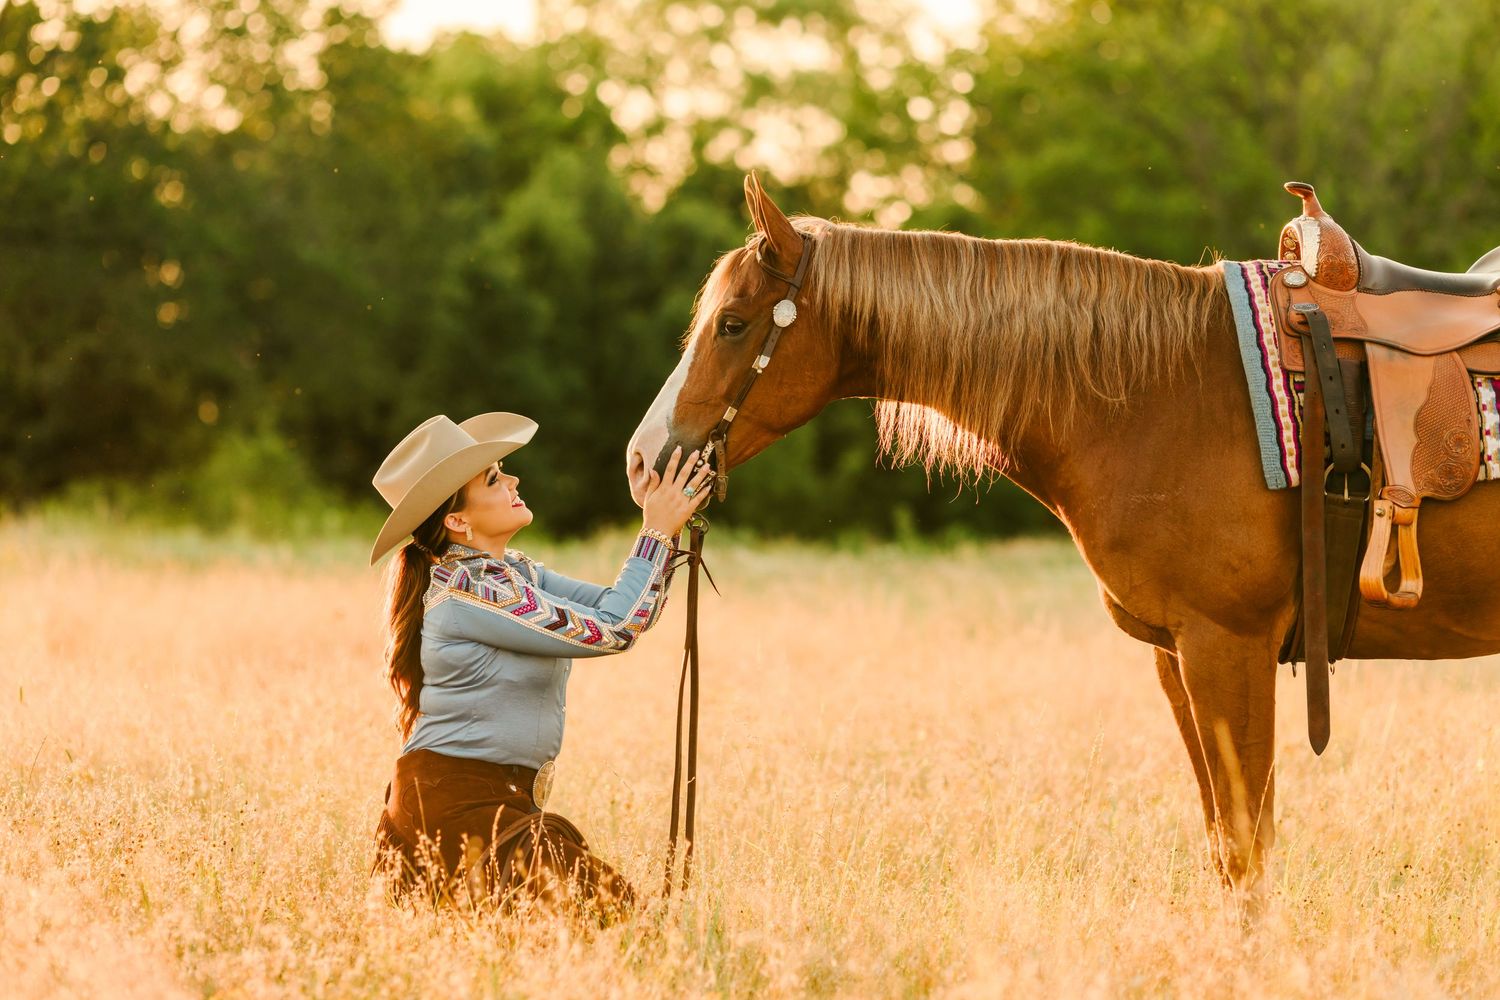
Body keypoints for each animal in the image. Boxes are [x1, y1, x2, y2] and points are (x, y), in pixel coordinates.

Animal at [624, 173, 1500, 895]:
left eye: (733, 324)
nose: (643, 461)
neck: (1168, 395)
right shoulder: (1177, 655)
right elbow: (1226, 847)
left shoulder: (1230, 646)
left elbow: (1248, 851)